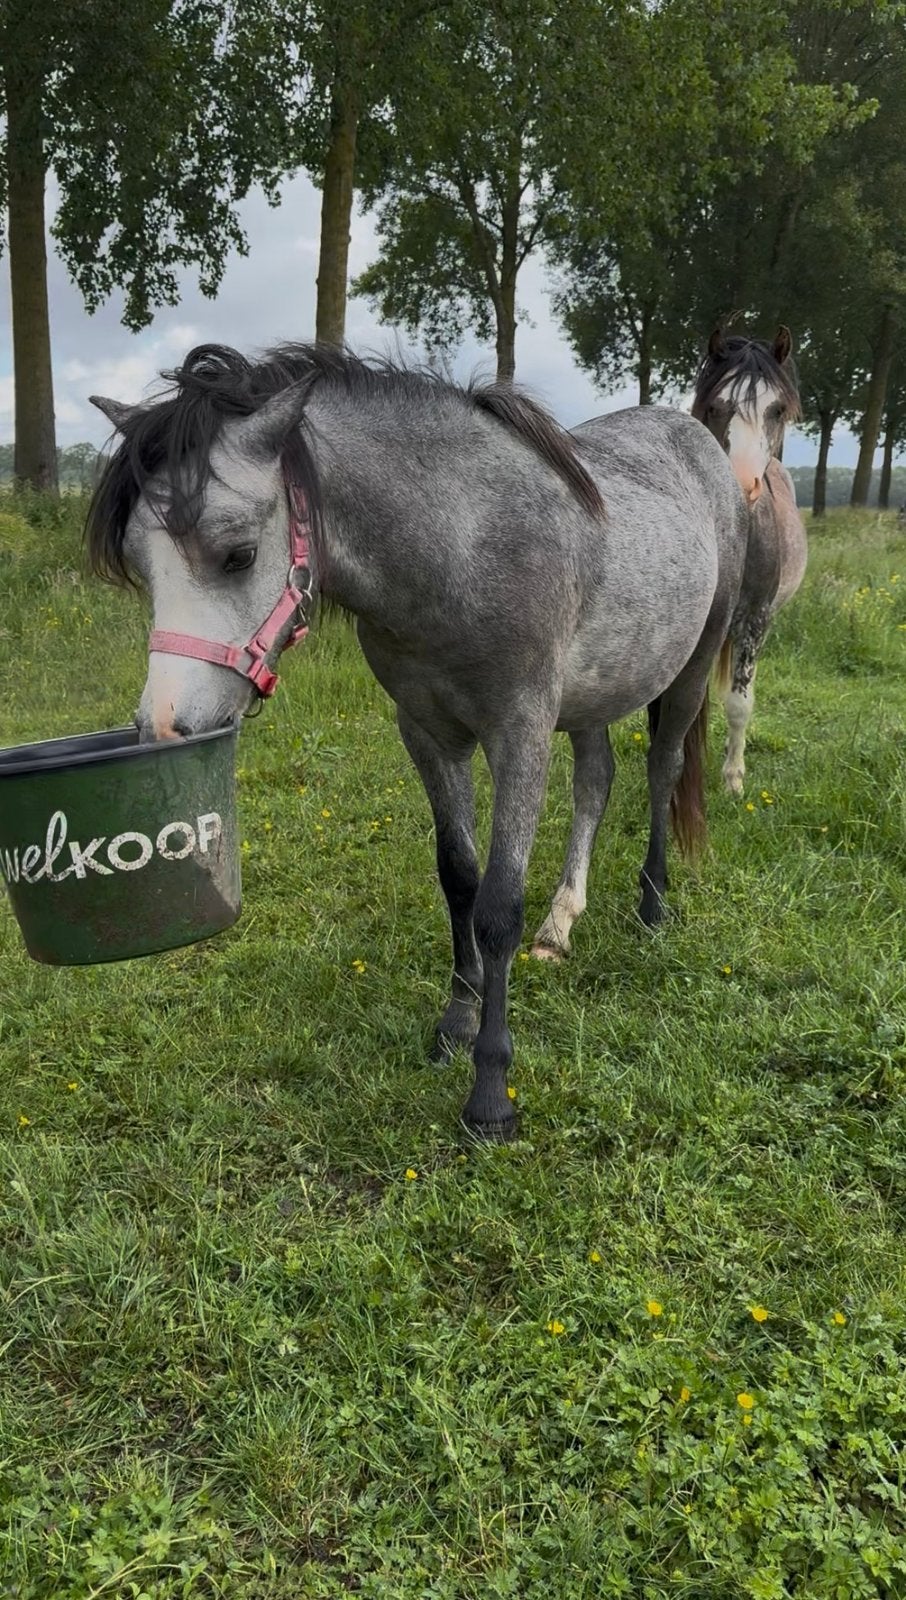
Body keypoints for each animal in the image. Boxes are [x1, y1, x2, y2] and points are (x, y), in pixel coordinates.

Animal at [86, 343, 750, 1142]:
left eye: (238, 554)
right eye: (139, 561)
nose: (163, 726)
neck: (463, 545)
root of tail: (698, 441)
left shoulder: (520, 733)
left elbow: (497, 906)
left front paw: (490, 1094)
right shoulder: (429, 735)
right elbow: (458, 877)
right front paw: (457, 1022)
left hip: (689, 668)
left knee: (662, 769)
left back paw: (652, 906)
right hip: (594, 698)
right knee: (597, 779)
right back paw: (561, 924)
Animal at [691, 326, 808, 794]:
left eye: (776, 409)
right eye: (714, 405)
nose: (741, 485)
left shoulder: (755, 619)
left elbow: (739, 704)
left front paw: (732, 780)